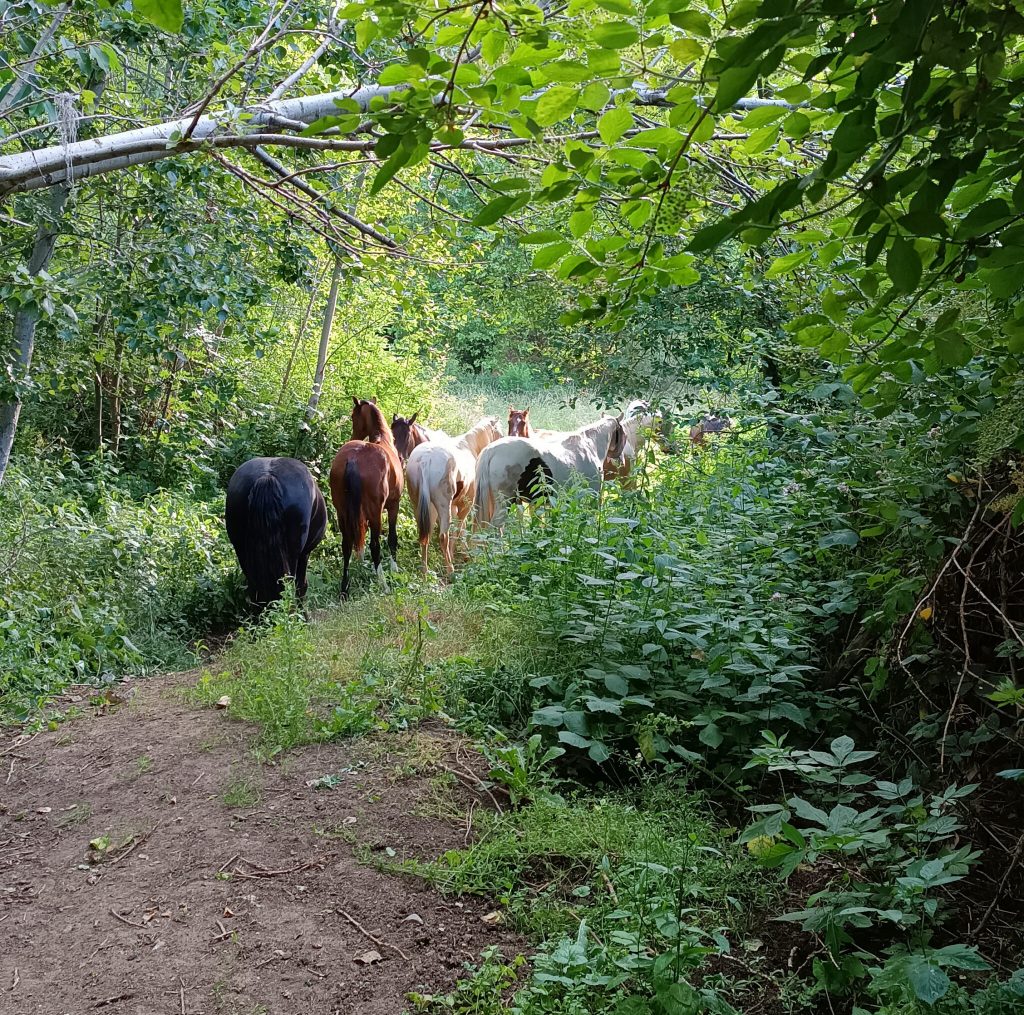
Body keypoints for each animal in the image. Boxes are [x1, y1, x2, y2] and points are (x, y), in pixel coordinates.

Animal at [224, 457, 327, 608]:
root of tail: (267, 477)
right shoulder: (304, 554)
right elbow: (301, 585)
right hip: (292, 553)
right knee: (289, 585)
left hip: (241, 550)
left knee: (254, 587)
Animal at [328, 398, 403, 598]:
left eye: (353, 416)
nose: (353, 435)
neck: (383, 440)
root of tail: (354, 458)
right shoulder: (393, 506)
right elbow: (392, 538)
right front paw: (394, 569)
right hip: (375, 514)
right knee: (375, 545)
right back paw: (383, 584)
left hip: (342, 512)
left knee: (346, 544)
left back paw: (344, 588)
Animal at [406, 415, 503, 574]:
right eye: (499, 431)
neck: (468, 446)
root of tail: (426, 460)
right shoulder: (465, 505)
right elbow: (458, 529)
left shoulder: (453, 506)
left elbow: (459, 529)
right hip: (442, 506)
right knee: (443, 536)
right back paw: (450, 569)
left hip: (421, 506)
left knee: (425, 536)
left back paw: (425, 572)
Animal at [474, 415, 626, 528]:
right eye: (623, 432)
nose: (621, 461)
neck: (589, 446)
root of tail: (491, 450)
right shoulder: (592, 496)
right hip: (505, 503)